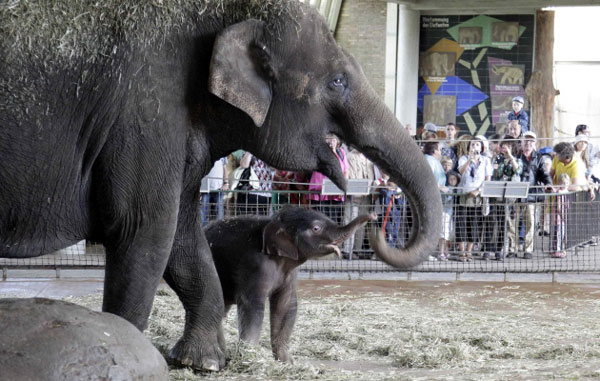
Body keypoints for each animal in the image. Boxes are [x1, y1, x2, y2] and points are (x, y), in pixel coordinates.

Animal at [206, 206, 376, 360]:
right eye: (316, 228)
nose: (374, 215)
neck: (272, 222)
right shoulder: (254, 266)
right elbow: (252, 306)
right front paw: (248, 357)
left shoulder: (289, 272)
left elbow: (285, 305)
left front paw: (287, 362)